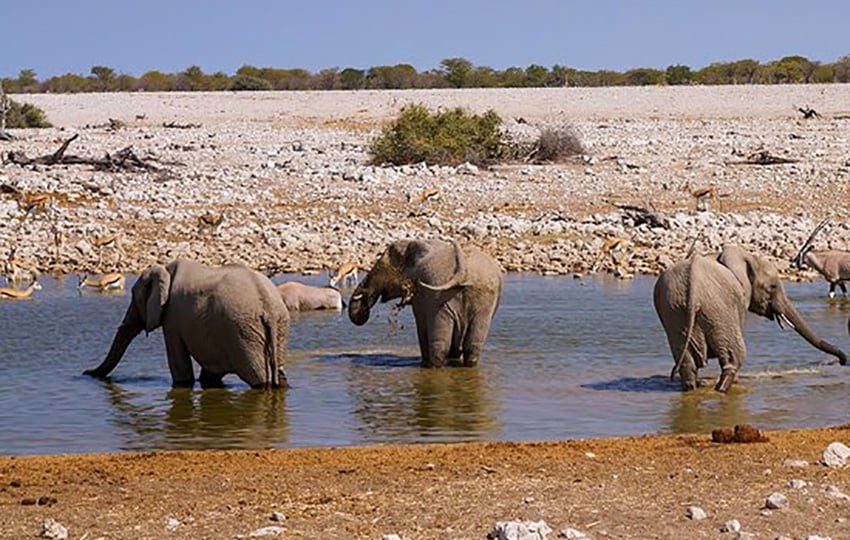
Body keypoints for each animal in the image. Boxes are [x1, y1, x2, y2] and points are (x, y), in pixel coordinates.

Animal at [83, 258, 288, 388]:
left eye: (134, 298)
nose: (85, 372)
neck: (165, 269)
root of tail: (268, 306)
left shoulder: (172, 318)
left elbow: (180, 368)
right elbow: (210, 373)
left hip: (243, 332)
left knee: (259, 378)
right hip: (274, 328)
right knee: (278, 373)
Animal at [346, 239, 500, 368]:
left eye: (378, 269)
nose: (364, 309)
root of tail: (462, 271)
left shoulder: (421, 298)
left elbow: (421, 325)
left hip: (439, 295)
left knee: (440, 346)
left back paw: (431, 367)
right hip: (480, 299)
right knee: (472, 345)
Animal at [652, 245, 844, 392]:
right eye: (772, 287)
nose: (842, 361)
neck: (747, 257)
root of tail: (693, 285)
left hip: (675, 311)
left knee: (687, 364)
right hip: (717, 309)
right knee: (734, 357)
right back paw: (723, 389)